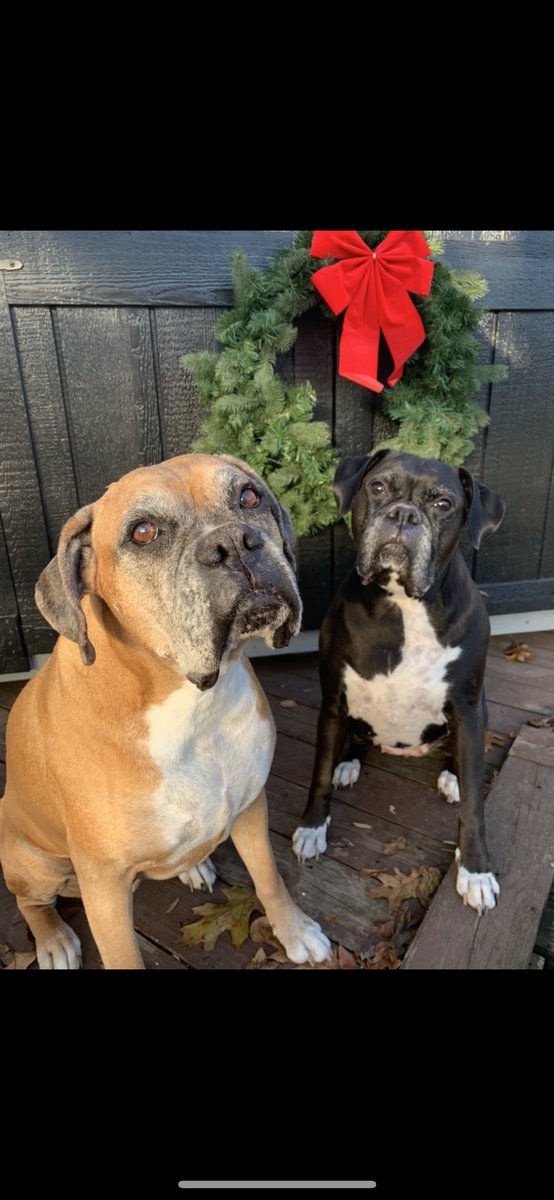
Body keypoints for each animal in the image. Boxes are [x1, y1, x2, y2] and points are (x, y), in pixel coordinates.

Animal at [0, 453, 330, 969]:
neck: (195, 708)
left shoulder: (251, 807)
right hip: (34, 861)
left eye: (249, 496)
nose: (233, 542)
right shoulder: (104, 888)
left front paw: (294, 930)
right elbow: (123, 956)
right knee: (29, 900)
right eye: (143, 532)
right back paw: (52, 940)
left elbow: (269, 877)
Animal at [293, 453, 506, 912]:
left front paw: (476, 870)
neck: (404, 604)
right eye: (377, 488)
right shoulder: (333, 702)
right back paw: (348, 761)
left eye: (444, 504)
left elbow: (475, 807)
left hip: (480, 710)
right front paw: (313, 827)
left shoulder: (467, 707)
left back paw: (452, 774)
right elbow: (318, 773)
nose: (404, 515)